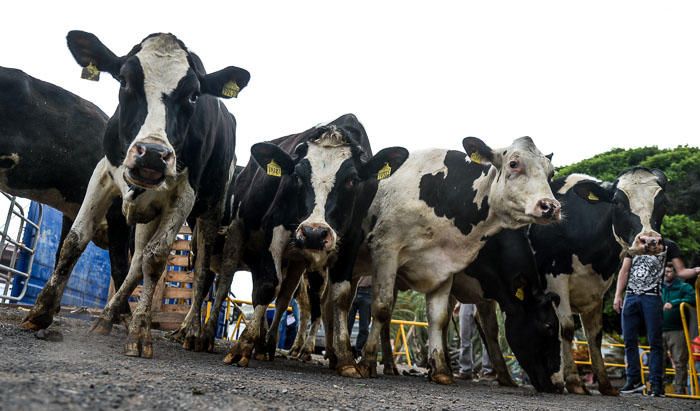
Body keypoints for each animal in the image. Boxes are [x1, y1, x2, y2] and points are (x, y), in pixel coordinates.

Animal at [20, 31, 250, 360]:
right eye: (125, 81)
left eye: (194, 95)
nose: (152, 154)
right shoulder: (104, 172)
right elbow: (75, 240)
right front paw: (41, 312)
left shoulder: (184, 194)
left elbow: (157, 258)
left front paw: (140, 331)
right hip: (147, 216)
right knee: (136, 261)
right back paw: (106, 317)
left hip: (211, 209)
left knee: (202, 271)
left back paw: (193, 332)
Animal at [219, 114, 404, 374]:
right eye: (297, 176)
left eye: (352, 180)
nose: (314, 233)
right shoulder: (273, 227)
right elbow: (267, 286)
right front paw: (243, 346)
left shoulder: (350, 240)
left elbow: (340, 297)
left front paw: (346, 358)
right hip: (238, 234)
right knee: (225, 282)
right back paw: (198, 334)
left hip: (296, 263)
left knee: (285, 297)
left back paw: (267, 346)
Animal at [352, 137, 560, 384]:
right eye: (513, 164)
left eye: (551, 172)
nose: (551, 207)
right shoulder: (386, 248)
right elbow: (382, 308)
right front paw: (366, 363)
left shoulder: (447, 265)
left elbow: (444, 319)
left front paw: (442, 369)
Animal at [532, 167, 668, 396]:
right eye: (618, 202)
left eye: (662, 202)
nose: (650, 240)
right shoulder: (554, 278)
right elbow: (566, 328)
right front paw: (571, 381)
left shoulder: (596, 288)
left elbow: (594, 335)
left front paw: (605, 384)